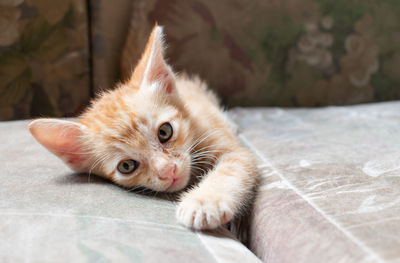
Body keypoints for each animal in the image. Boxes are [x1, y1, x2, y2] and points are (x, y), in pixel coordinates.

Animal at [28, 25, 260, 231]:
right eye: (126, 166)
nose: (168, 170)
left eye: (165, 132)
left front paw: (204, 202)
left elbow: (230, 169)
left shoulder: (232, 149)